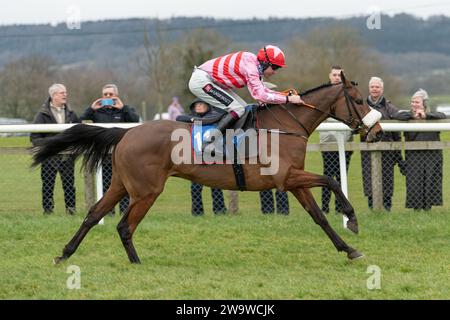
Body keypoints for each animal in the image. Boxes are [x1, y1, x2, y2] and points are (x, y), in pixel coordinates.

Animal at [32, 73, 384, 264]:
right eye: (358, 100)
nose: (377, 131)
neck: (286, 126)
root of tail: (126, 132)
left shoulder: (293, 182)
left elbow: (319, 217)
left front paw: (349, 249)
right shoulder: (287, 177)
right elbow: (331, 181)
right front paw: (352, 220)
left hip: (121, 183)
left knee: (94, 215)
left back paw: (65, 253)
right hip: (146, 190)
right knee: (124, 226)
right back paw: (135, 262)